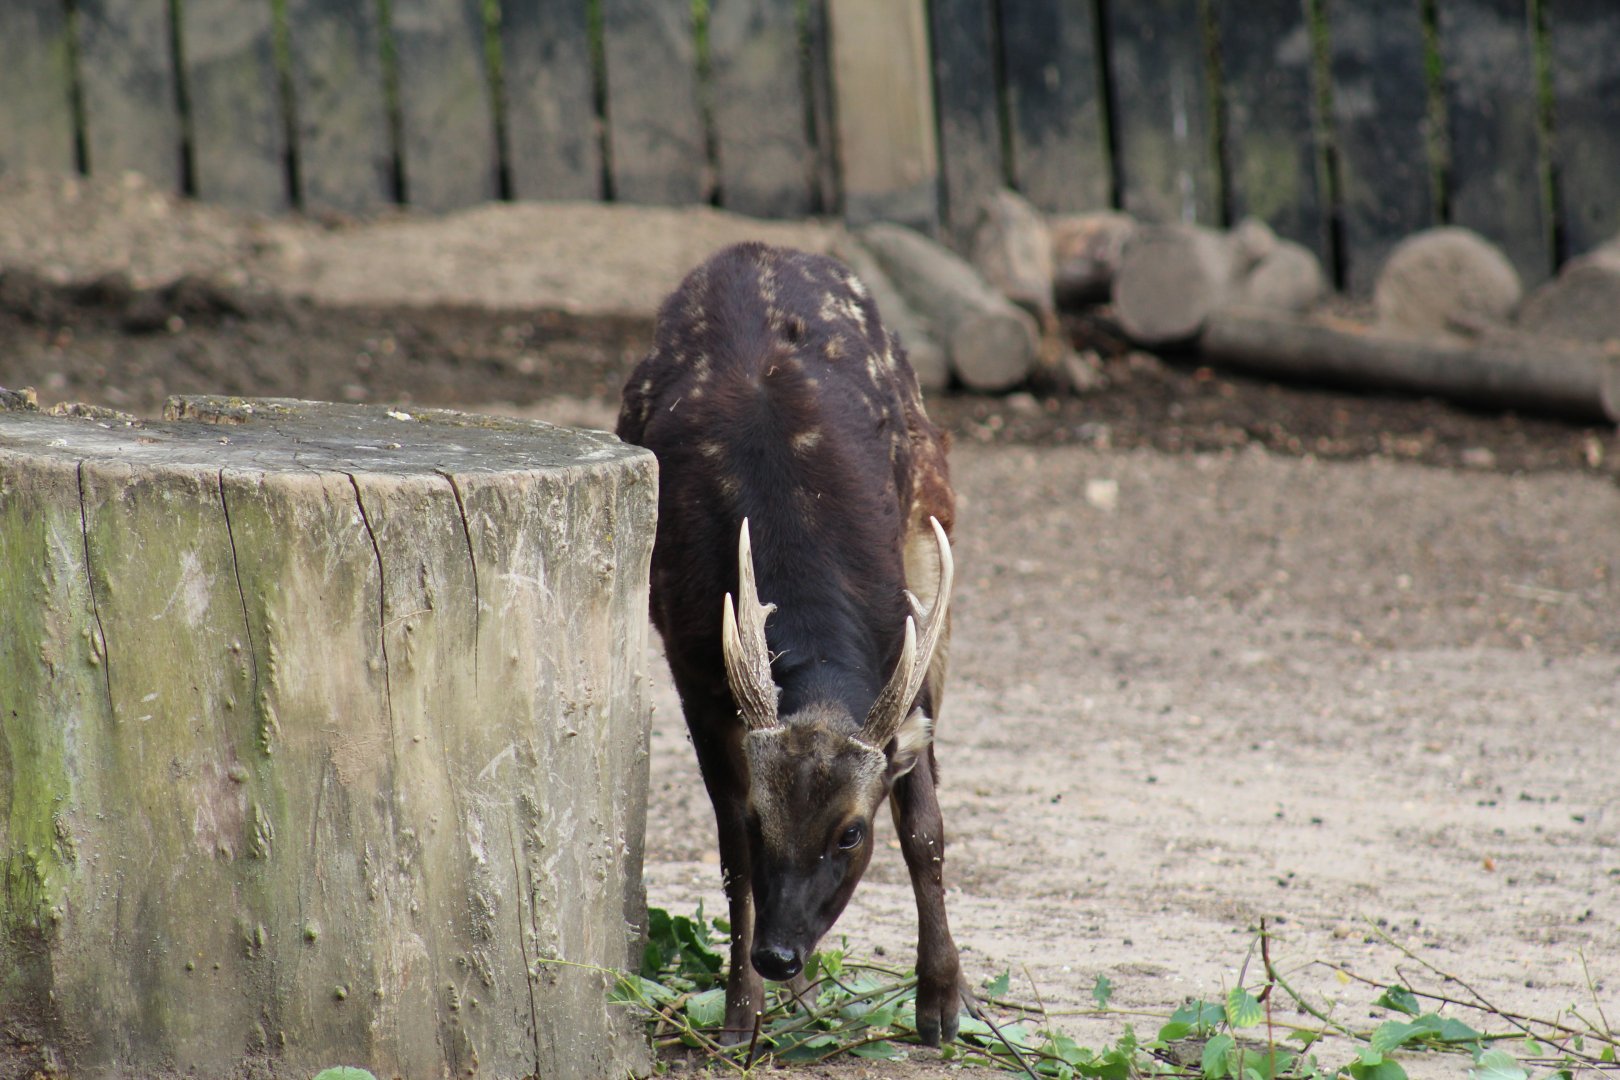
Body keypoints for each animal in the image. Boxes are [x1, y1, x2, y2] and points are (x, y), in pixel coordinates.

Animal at [617, 241, 962, 1046]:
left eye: (851, 832)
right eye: (760, 817)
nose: (777, 955)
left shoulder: (911, 627)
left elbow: (925, 830)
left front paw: (942, 1002)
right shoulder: (692, 663)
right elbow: (731, 858)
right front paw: (740, 1018)